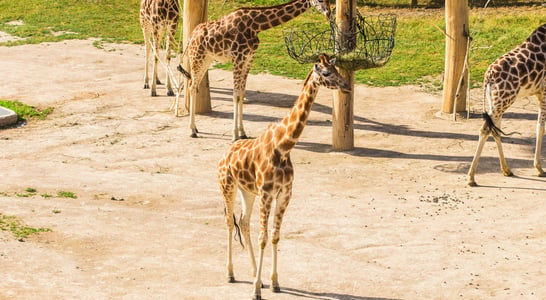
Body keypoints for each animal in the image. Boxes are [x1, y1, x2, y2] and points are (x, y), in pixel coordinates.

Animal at [178, 0, 330, 140]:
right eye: (320, 0)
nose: (329, 13)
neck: (256, 25)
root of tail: (191, 36)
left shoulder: (248, 59)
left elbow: (241, 94)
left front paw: (242, 132)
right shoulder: (238, 58)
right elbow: (235, 95)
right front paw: (235, 135)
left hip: (206, 59)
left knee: (192, 84)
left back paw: (196, 128)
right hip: (196, 58)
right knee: (192, 86)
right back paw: (192, 130)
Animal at [217, 54, 348, 300]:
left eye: (337, 70)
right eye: (327, 73)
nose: (346, 85)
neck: (284, 146)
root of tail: (224, 155)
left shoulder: (285, 193)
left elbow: (275, 236)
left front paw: (273, 283)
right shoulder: (267, 193)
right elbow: (263, 238)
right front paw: (256, 291)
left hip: (247, 191)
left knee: (244, 222)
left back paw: (253, 274)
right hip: (227, 186)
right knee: (230, 222)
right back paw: (230, 274)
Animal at [466, 23, 544, 186]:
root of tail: (488, 77)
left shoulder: (540, 93)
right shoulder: (544, 91)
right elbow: (541, 128)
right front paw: (539, 169)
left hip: (496, 101)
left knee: (494, 129)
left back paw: (506, 170)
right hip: (504, 100)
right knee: (486, 129)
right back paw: (471, 177)